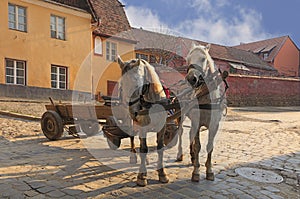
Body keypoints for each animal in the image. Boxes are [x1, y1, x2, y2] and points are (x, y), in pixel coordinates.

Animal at [116, 56, 169, 187]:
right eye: (122, 85)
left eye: (138, 84)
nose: (134, 111)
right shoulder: (142, 127)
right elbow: (143, 148)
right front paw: (141, 176)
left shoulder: (162, 127)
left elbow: (160, 148)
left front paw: (162, 173)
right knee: (132, 138)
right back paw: (133, 156)